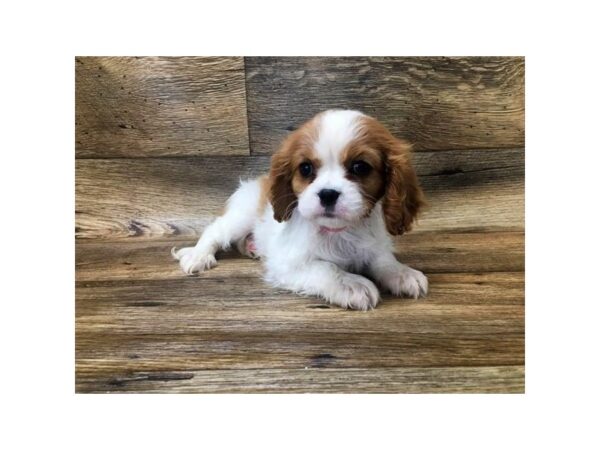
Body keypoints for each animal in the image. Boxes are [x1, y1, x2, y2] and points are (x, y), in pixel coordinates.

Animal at [171, 109, 428, 310]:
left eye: (360, 167)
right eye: (305, 168)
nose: (327, 193)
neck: (338, 232)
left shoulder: (373, 246)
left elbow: (383, 259)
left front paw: (402, 273)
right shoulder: (287, 263)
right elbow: (326, 268)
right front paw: (351, 283)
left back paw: (252, 247)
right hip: (241, 217)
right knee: (215, 231)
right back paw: (198, 255)